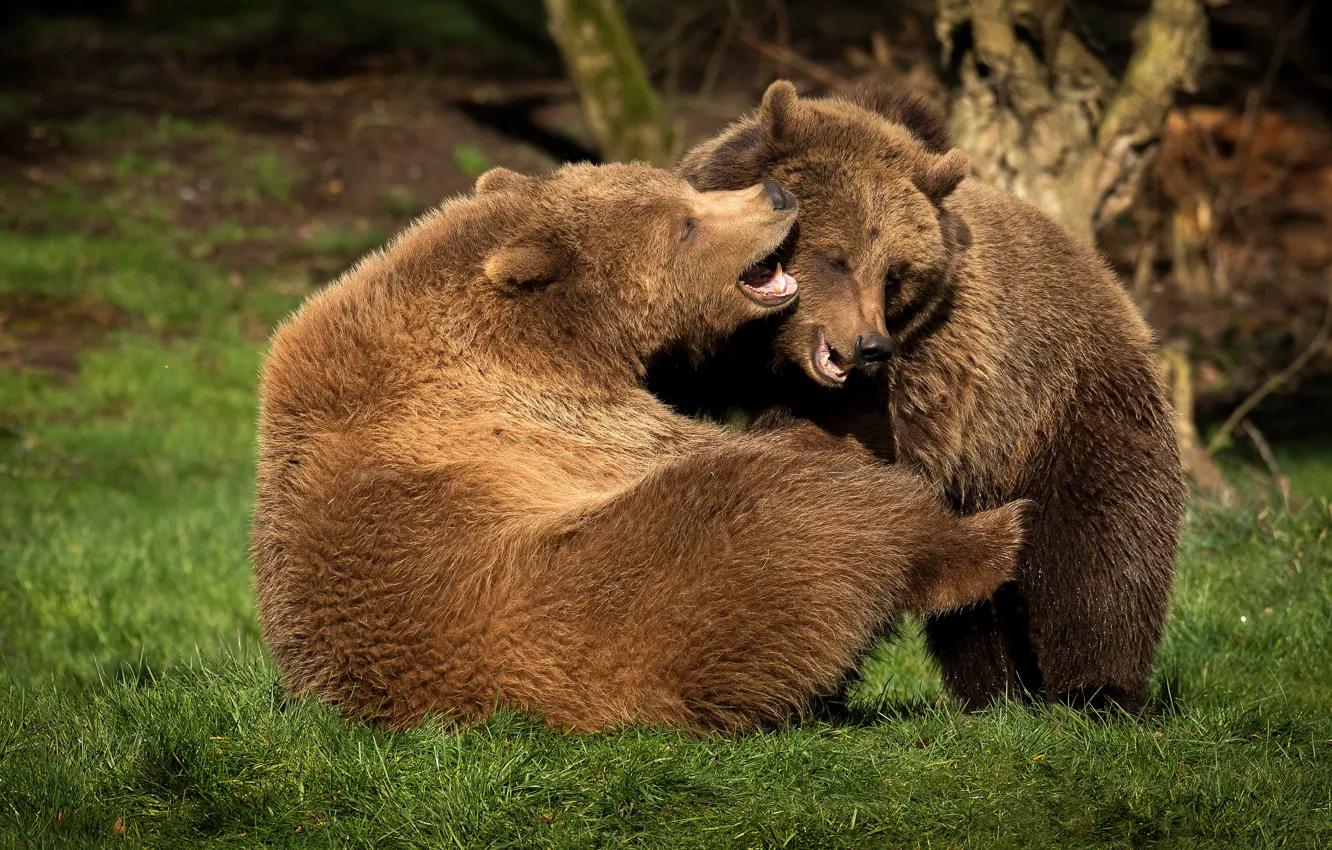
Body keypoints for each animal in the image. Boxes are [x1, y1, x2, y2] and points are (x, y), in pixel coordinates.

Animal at [251, 161, 1032, 733]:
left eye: (683, 188)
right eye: (685, 225)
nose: (778, 195)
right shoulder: (562, 423)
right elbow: (718, 448)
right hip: (635, 589)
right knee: (805, 510)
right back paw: (993, 536)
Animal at [663, 81, 1186, 713]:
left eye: (894, 273)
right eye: (836, 259)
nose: (870, 346)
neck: (767, 354)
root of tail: (1115, 288)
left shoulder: (928, 369)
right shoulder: (701, 344)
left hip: (1068, 412)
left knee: (1100, 558)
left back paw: (1096, 690)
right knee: (975, 608)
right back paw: (996, 693)